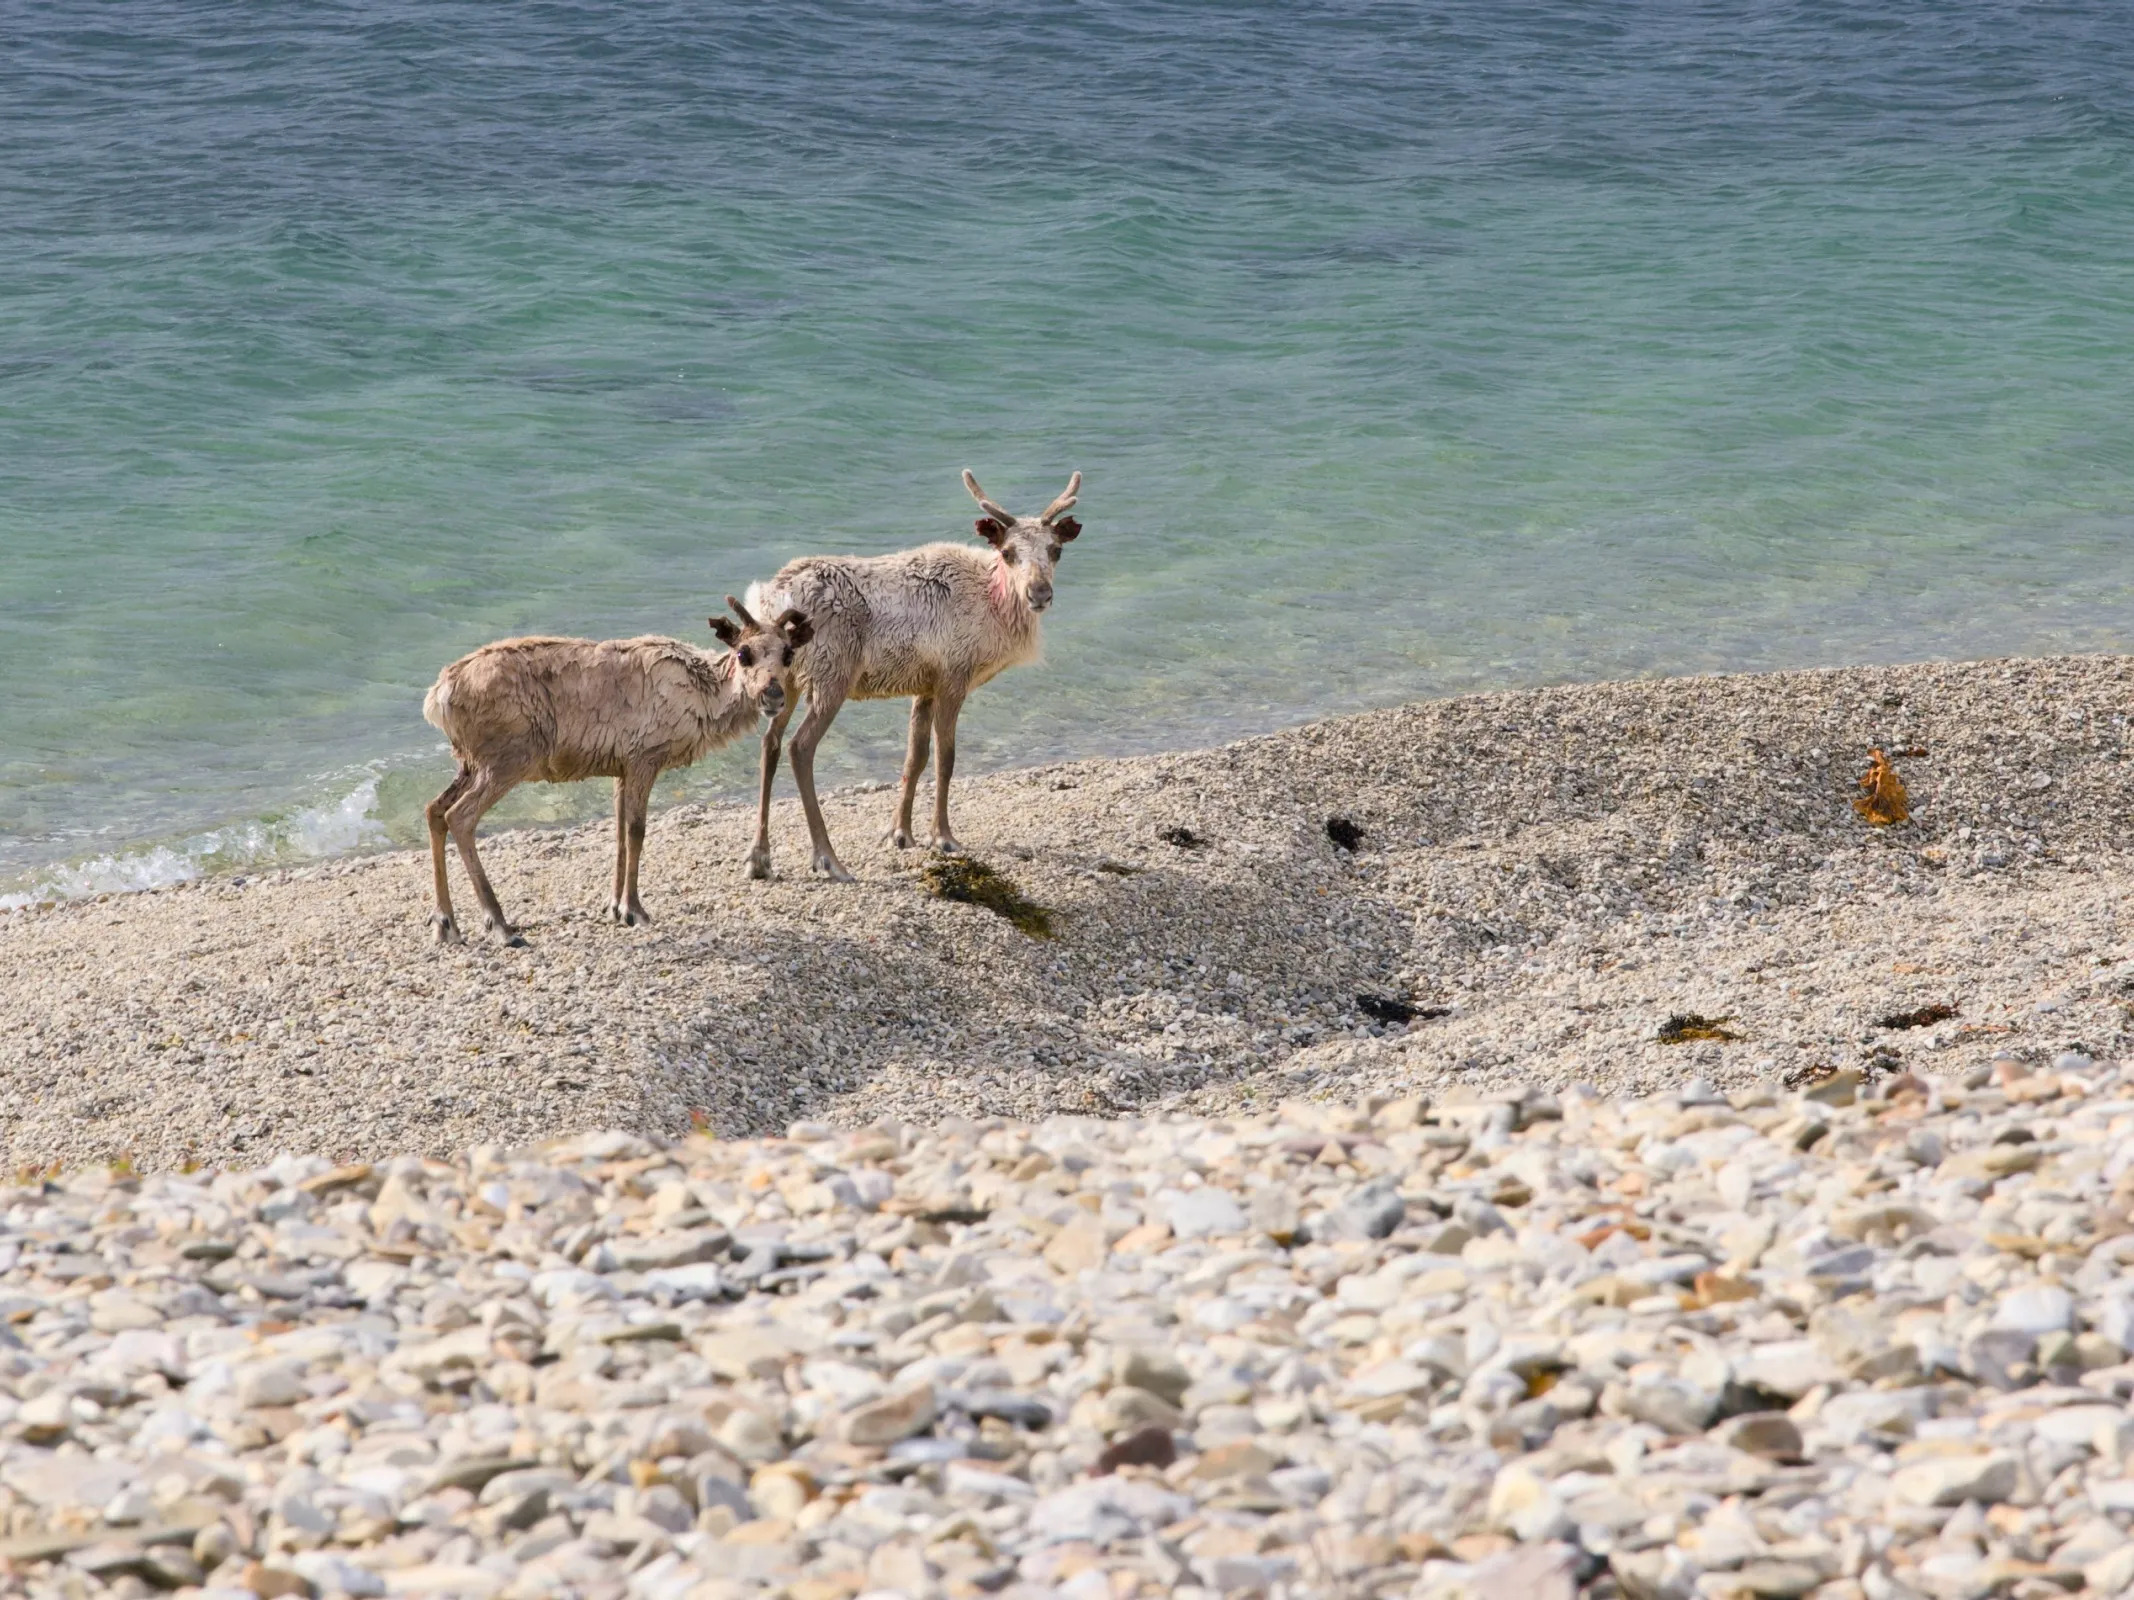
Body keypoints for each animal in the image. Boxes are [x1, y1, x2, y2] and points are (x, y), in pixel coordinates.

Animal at [421, 598, 812, 945]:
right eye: (744, 653)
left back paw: (446, 923)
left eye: (788, 654)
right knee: (460, 816)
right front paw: (634, 909)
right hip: (507, 758)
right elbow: (637, 830)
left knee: (434, 809)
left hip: (470, 761)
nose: (773, 695)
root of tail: (437, 697)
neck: (703, 700)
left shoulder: (620, 766)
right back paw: (500, 925)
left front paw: (614, 905)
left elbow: (620, 831)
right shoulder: (644, 757)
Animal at [741, 468, 1083, 882]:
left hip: (785, 679)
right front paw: (944, 837)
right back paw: (827, 858)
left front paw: (900, 832)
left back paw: (758, 857)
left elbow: (914, 757)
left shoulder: (925, 683)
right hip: (832, 673)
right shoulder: (954, 675)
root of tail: (769, 600)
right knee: (800, 747)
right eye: (1008, 553)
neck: (994, 609)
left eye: (1056, 550)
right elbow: (945, 758)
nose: (1039, 593)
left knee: (769, 745)